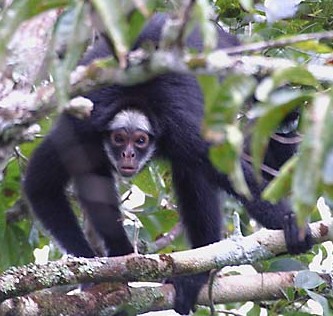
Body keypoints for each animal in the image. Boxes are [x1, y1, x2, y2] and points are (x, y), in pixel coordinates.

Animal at [24, 12, 312, 316]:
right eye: (118, 138)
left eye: (140, 141)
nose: (128, 155)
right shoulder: (80, 129)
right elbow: (40, 186)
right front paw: (94, 272)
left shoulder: (181, 129)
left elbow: (229, 174)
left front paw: (288, 220)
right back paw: (121, 254)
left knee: (191, 171)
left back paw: (197, 275)